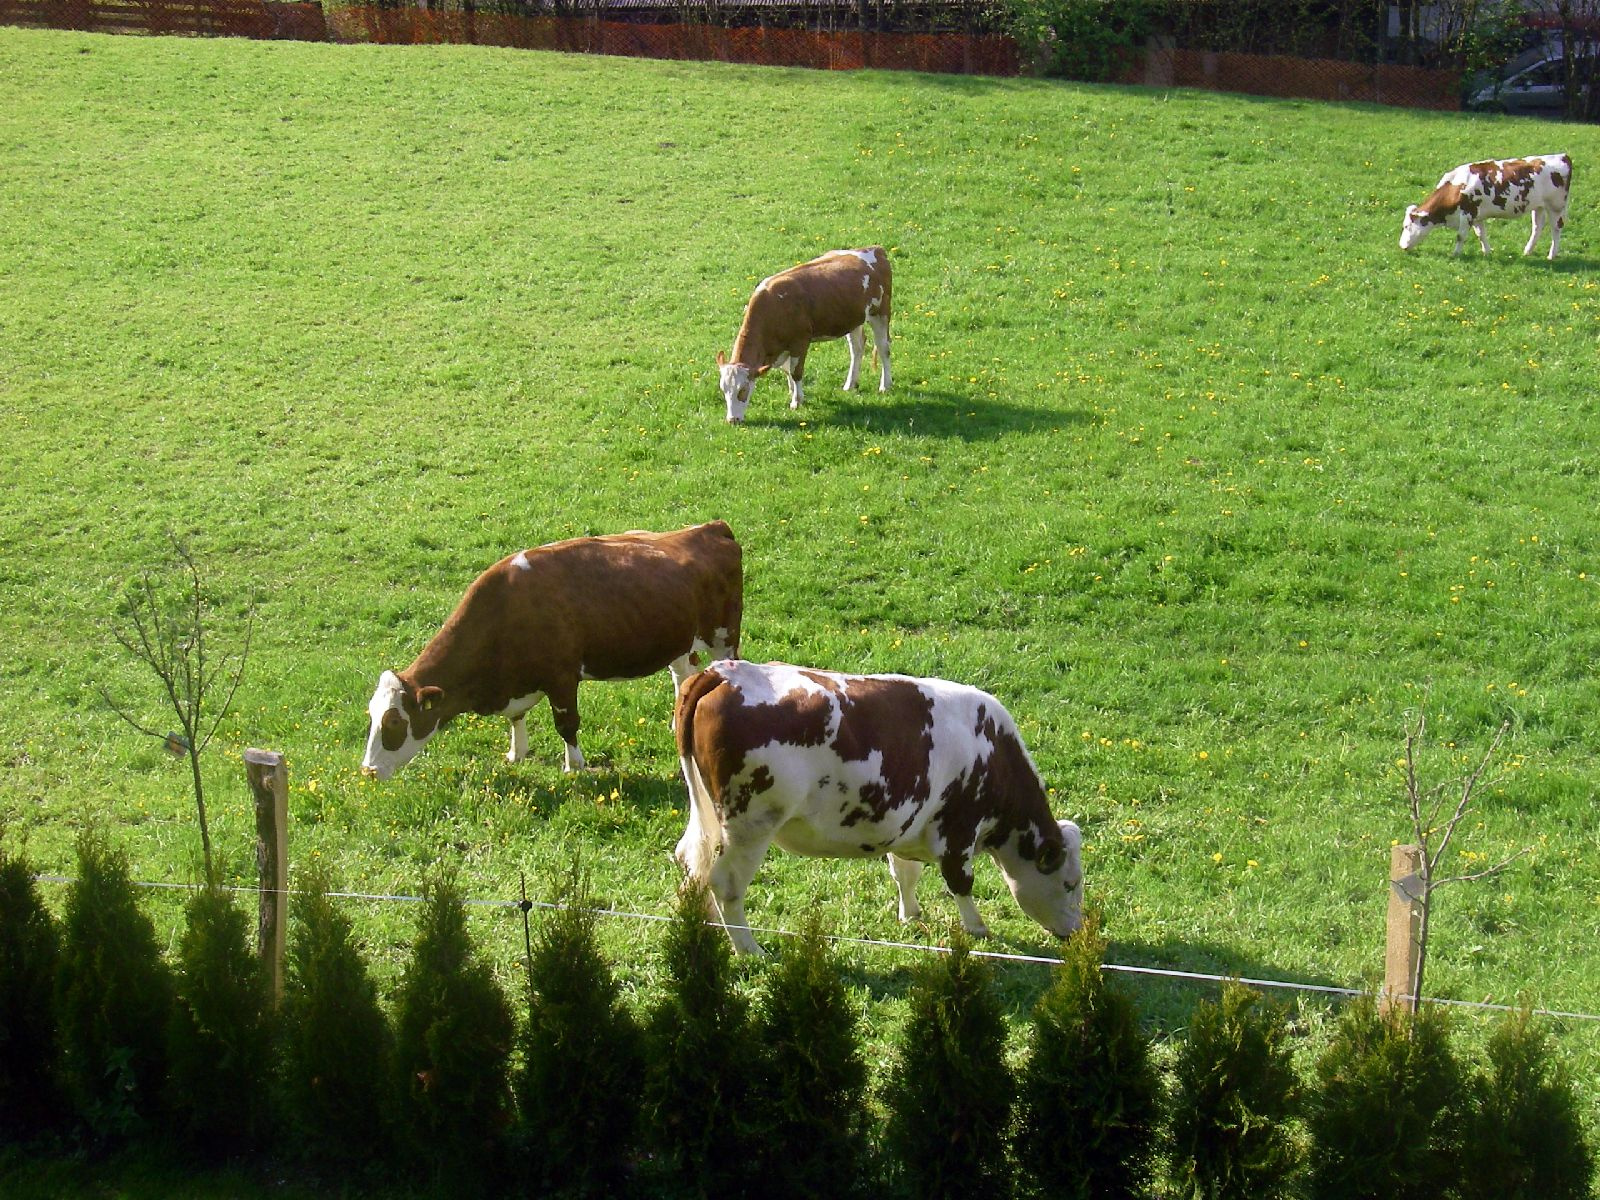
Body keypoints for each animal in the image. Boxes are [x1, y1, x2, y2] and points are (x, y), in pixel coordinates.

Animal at [360, 524, 739, 780]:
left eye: (394, 721)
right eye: (371, 714)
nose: (368, 770)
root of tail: (710, 528)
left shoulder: (562, 678)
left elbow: (567, 724)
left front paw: (574, 766)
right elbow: (517, 718)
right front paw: (516, 753)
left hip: (725, 637)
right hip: (678, 641)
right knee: (683, 675)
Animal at [668, 659, 1081, 960]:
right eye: (1071, 884)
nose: (1076, 933)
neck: (991, 749)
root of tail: (723, 671)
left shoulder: (908, 824)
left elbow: (905, 873)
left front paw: (911, 915)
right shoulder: (958, 829)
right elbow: (960, 882)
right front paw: (977, 928)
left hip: (708, 816)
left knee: (692, 864)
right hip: (751, 825)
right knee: (726, 883)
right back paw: (749, 949)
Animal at [720, 246, 896, 425]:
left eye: (743, 389)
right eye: (723, 390)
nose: (732, 420)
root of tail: (875, 248)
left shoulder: (800, 342)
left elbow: (796, 372)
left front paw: (796, 401)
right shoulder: (784, 347)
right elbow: (787, 371)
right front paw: (793, 392)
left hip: (881, 313)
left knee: (883, 348)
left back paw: (885, 385)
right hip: (853, 319)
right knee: (857, 348)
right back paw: (850, 384)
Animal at [1401, 153, 1574, 259]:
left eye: (1407, 227)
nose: (1401, 246)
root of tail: (1562, 156)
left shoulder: (1468, 214)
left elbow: (1460, 236)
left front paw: (1456, 254)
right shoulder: (1477, 216)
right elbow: (1481, 234)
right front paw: (1487, 252)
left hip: (1556, 206)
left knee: (1556, 228)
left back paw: (1551, 255)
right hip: (1538, 206)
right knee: (1537, 227)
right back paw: (1527, 251)